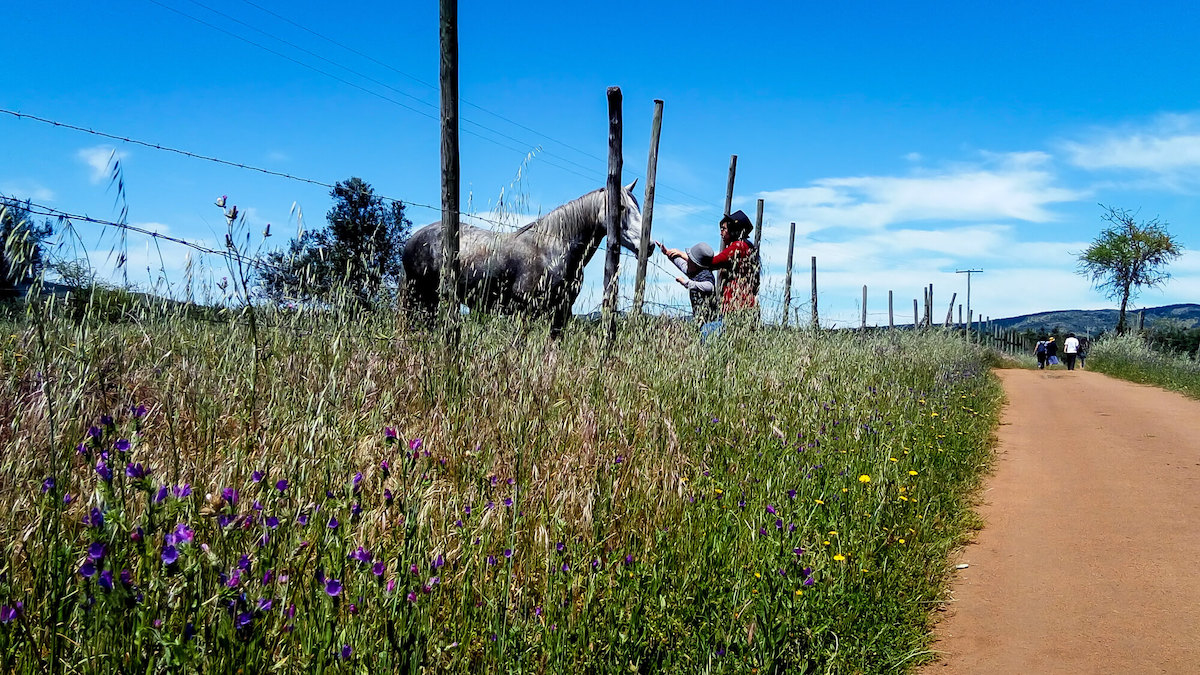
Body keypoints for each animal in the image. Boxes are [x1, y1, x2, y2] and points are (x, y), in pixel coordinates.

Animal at [400, 181, 648, 336]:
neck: (552, 249)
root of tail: (414, 238)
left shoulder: (561, 313)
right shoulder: (524, 312)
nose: (649, 245)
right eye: (621, 207)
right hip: (419, 297)